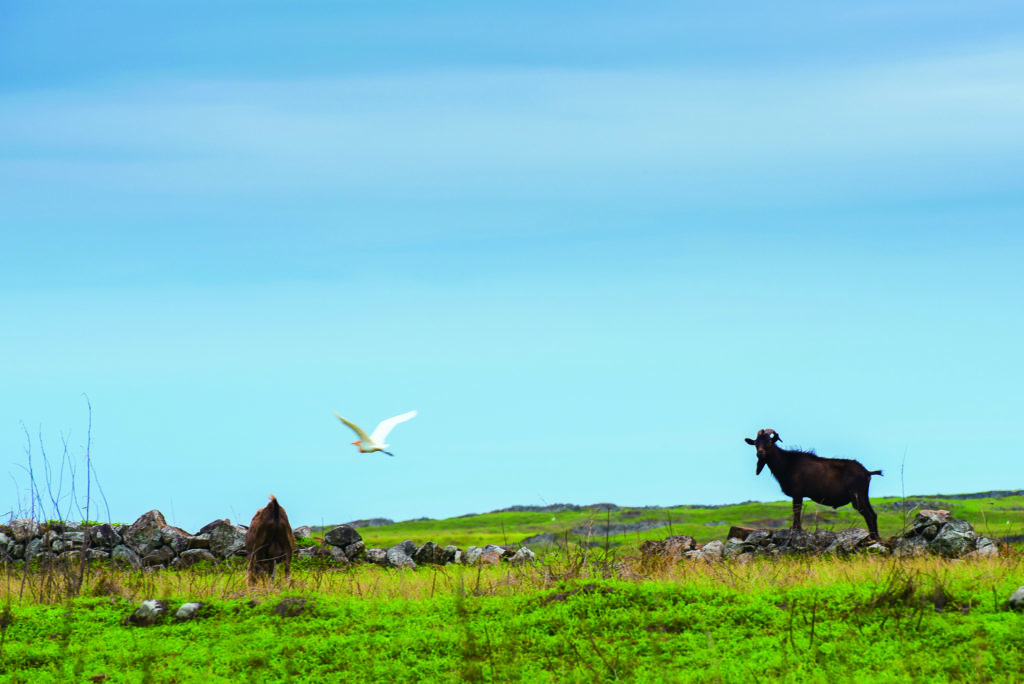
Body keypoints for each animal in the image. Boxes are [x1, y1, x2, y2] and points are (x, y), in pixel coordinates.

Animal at [741, 430, 884, 536]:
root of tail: (867, 472)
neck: (787, 463)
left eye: (770, 441)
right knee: (873, 515)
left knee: (868, 515)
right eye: (755, 442)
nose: (760, 453)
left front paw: (796, 529)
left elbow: (796, 510)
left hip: (856, 495)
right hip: (863, 495)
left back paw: (872, 539)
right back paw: (876, 538)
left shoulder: (797, 492)